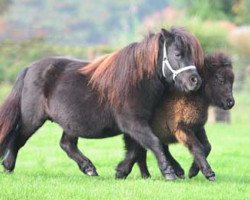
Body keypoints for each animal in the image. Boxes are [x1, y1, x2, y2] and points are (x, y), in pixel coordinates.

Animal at [0, 27, 203, 180]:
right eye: (177, 54)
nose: (195, 81)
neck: (135, 81)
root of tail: (29, 68)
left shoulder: (136, 126)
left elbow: (137, 149)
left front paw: (121, 171)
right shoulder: (133, 123)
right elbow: (154, 143)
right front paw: (169, 172)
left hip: (71, 124)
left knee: (66, 144)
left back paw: (89, 168)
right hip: (32, 120)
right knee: (18, 138)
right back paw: (8, 166)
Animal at [116, 52, 234, 180]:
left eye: (232, 80)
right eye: (220, 79)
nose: (230, 102)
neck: (190, 96)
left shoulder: (197, 127)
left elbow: (207, 146)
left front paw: (193, 171)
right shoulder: (182, 129)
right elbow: (198, 147)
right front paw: (208, 173)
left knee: (147, 151)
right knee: (140, 151)